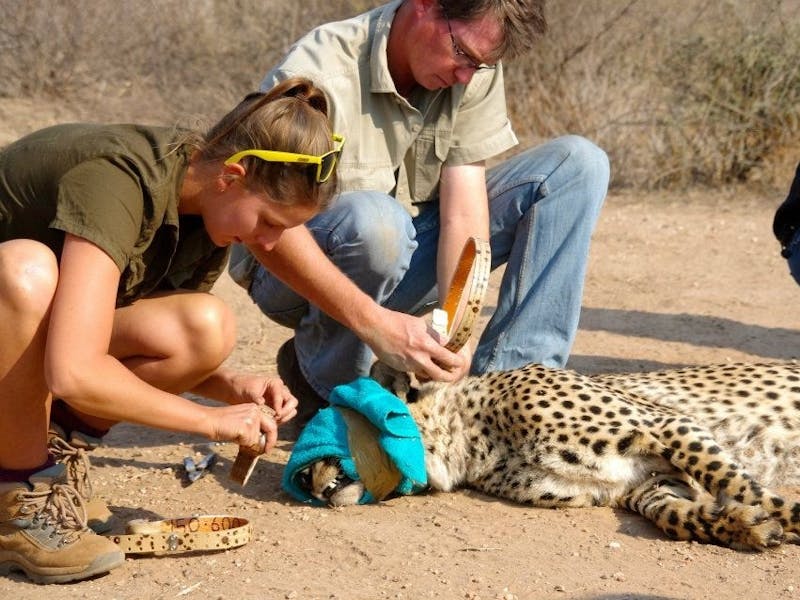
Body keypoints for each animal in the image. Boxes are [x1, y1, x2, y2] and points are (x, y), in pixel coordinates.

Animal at [298, 358, 800, 552]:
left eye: (333, 420)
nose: (305, 480)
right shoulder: (649, 482)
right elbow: (676, 516)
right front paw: (745, 526)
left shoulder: (669, 424)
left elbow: (741, 483)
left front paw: (782, 518)